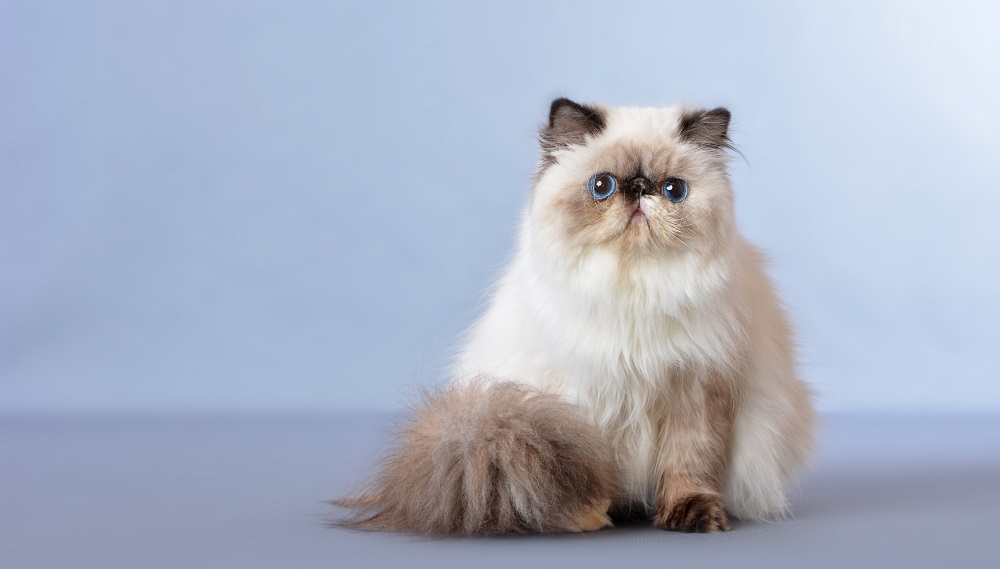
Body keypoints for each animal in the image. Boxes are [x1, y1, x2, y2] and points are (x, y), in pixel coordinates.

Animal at [336, 96, 812, 532]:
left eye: (674, 190)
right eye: (602, 185)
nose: (639, 190)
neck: (633, 289)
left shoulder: (696, 392)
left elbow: (690, 466)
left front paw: (691, 515)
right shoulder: (580, 396)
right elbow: (585, 462)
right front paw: (588, 513)